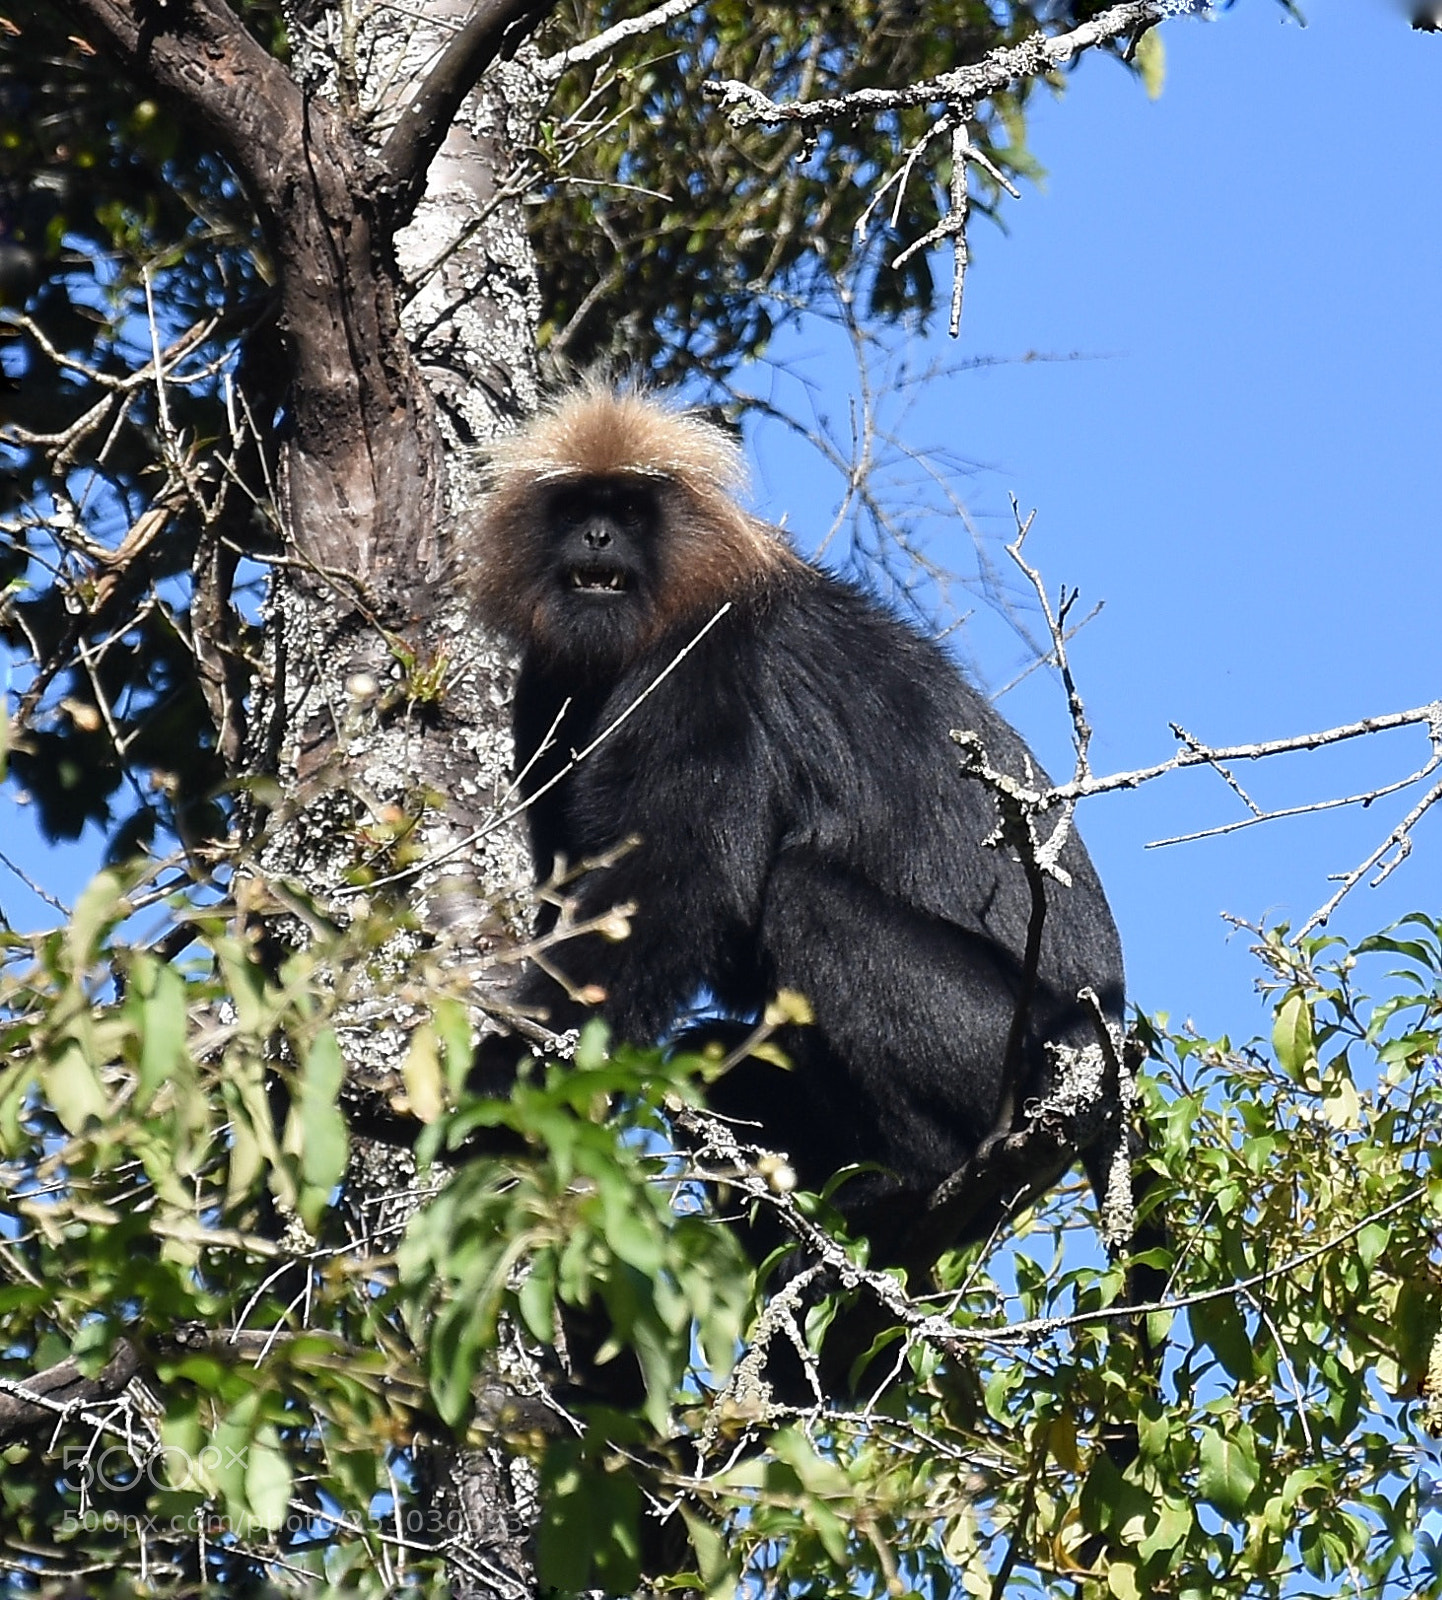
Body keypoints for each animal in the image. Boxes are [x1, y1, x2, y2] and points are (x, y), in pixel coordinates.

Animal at [469, 384, 1127, 1273]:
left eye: (631, 509)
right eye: (575, 506)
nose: (597, 537)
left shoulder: (707, 676)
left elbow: (672, 890)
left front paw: (505, 1078)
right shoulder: (545, 690)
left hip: (1004, 1055)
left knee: (808, 895)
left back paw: (908, 1184)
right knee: (710, 1054)